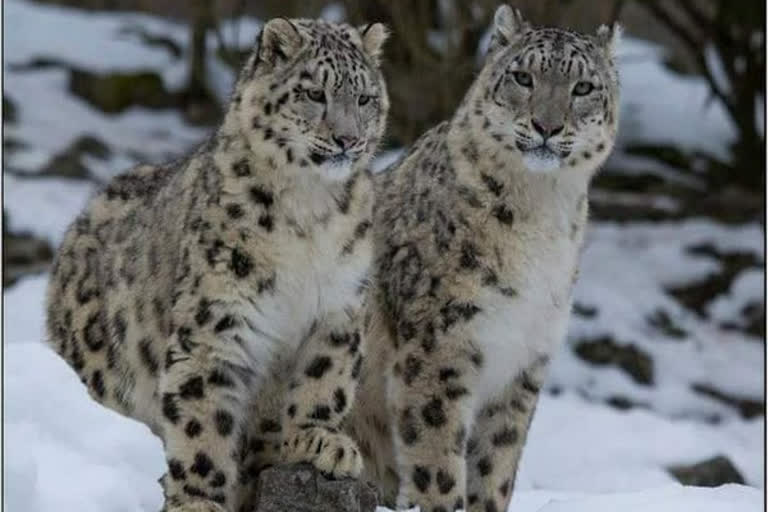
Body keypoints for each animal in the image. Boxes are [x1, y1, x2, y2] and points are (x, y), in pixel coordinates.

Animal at [45, 16, 388, 512]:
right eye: (314, 93)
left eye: (365, 98)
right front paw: (198, 498)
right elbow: (202, 416)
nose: (348, 139)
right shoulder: (217, 319)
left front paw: (321, 441)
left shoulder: (337, 307)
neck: (310, 210)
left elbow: (325, 378)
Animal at [344, 5, 620, 512]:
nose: (547, 126)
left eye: (584, 87)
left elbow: (496, 464)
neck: (542, 213)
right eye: (523, 77)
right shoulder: (440, 343)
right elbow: (437, 456)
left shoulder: (525, 361)